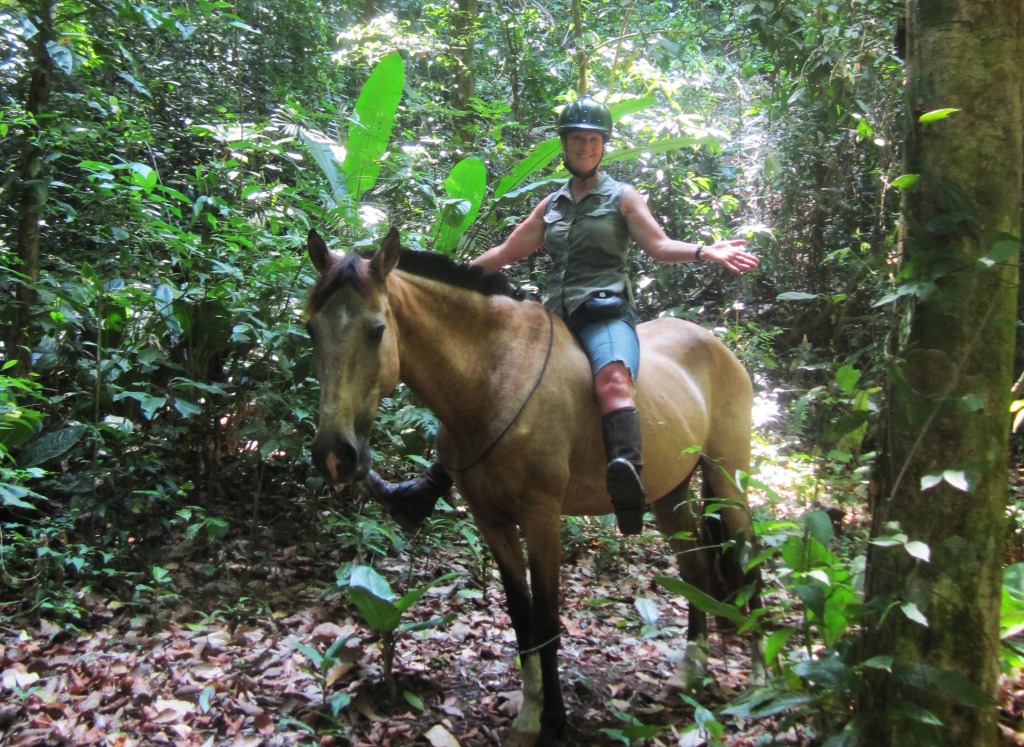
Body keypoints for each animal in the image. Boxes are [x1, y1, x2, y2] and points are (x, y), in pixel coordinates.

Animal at [303, 228, 761, 745]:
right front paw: (529, 715)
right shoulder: (491, 520)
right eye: (311, 330)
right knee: (696, 569)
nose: (334, 454)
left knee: (746, 553)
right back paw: (691, 669)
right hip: (669, 493)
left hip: (727, 478)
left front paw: (554, 720)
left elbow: (546, 620)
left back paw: (762, 677)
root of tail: (716, 345)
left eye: (376, 330)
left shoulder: (542, 517)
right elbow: (522, 616)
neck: (493, 377)